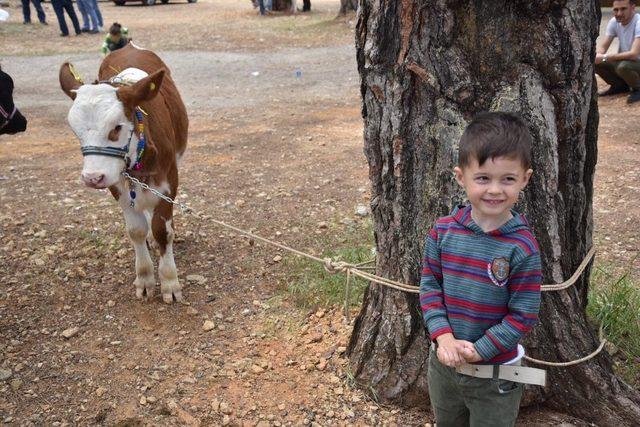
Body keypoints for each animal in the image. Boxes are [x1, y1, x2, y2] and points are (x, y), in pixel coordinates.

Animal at [58, 44, 189, 304]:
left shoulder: (169, 181)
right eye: (75, 130)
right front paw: (145, 278)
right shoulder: (116, 184)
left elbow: (163, 231)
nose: (92, 178)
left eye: (117, 127)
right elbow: (136, 230)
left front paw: (170, 282)